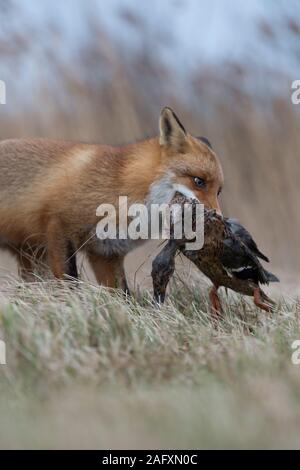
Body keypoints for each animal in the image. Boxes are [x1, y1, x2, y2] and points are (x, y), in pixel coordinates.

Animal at [0, 108, 223, 288]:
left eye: (219, 191)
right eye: (199, 181)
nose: (219, 218)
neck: (120, 185)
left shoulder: (106, 254)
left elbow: (122, 295)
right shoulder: (58, 227)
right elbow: (69, 284)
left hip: (31, 255)